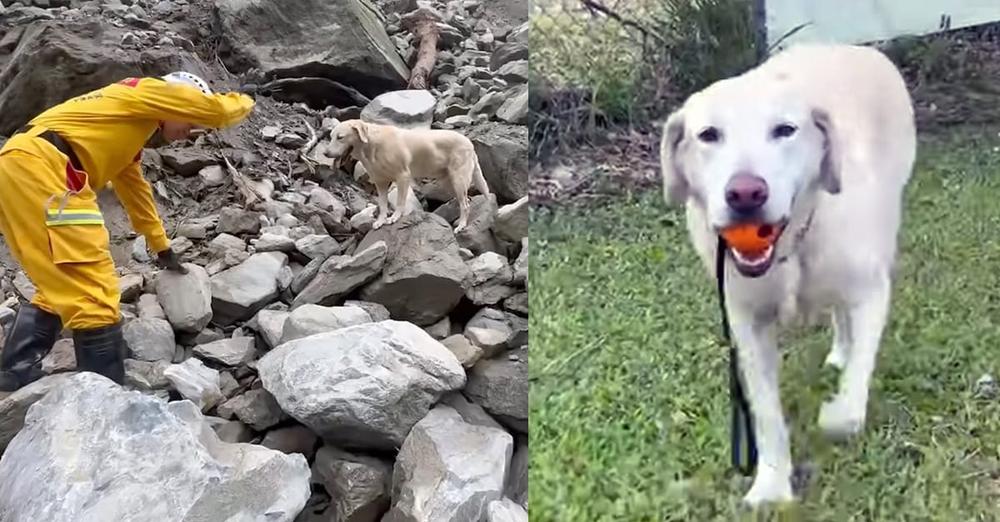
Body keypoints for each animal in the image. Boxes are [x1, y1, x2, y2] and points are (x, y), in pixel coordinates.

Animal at [322, 121, 490, 231]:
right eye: (331, 136)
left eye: (340, 137)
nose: (325, 153)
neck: (372, 146)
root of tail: (469, 142)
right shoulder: (380, 182)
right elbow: (383, 204)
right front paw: (380, 221)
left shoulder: (402, 177)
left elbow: (399, 202)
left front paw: (395, 217)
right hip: (449, 182)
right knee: (468, 200)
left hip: (458, 180)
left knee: (466, 205)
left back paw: (461, 225)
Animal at [660, 44, 916, 504]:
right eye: (708, 135)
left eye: (784, 130)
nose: (745, 193)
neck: (791, 245)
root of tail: (851, 46)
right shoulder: (747, 325)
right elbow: (766, 416)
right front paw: (772, 486)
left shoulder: (870, 293)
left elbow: (852, 395)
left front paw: (837, 412)